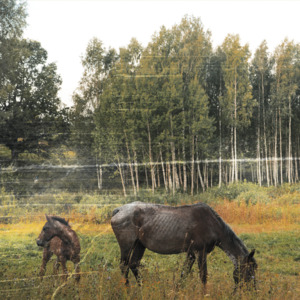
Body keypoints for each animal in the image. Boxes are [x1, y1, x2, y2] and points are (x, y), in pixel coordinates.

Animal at [111, 202, 256, 288]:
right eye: (250, 269)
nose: (253, 290)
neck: (212, 225)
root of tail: (118, 210)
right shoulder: (200, 252)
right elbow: (203, 276)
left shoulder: (191, 253)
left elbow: (183, 274)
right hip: (127, 245)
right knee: (124, 266)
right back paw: (128, 289)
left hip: (140, 245)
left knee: (133, 264)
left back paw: (142, 288)